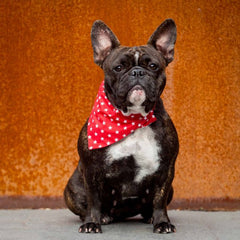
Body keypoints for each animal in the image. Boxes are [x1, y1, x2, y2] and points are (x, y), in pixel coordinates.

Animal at [63, 19, 178, 233]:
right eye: (118, 68)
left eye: (153, 66)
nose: (137, 72)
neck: (132, 118)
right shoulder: (91, 170)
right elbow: (93, 200)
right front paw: (92, 223)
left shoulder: (166, 169)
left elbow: (160, 200)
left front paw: (162, 222)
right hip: (72, 188)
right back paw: (101, 217)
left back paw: (149, 217)